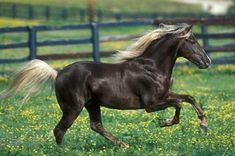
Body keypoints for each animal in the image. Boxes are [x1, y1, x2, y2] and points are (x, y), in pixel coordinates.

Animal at [0, 23, 212, 147]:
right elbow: (179, 104)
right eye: (192, 41)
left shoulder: (165, 95)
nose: (207, 61)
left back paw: (123, 145)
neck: (152, 67)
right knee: (60, 130)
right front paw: (165, 123)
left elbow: (189, 98)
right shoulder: (151, 104)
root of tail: (58, 73)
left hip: (92, 104)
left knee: (95, 125)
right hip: (72, 108)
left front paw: (203, 126)